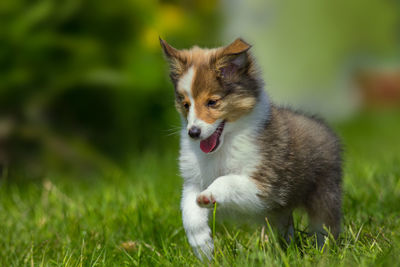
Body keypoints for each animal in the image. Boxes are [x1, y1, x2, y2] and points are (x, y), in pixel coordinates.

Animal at [159, 38, 340, 262]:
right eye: (186, 105)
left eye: (212, 102)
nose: (193, 132)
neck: (223, 146)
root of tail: (321, 125)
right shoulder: (192, 181)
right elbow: (190, 212)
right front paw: (203, 248)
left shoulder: (264, 184)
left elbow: (227, 180)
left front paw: (209, 195)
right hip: (280, 212)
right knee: (286, 228)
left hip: (324, 194)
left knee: (324, 228)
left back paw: (323, 254)